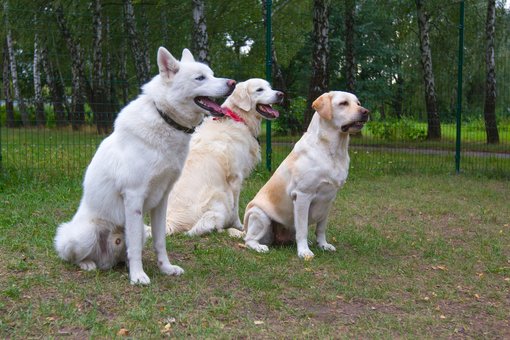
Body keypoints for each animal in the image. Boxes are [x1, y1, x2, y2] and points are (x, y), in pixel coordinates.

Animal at [54, 45, 235, 284]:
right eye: (200, 78)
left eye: (212, 74)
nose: (233, 83)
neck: (165, 118)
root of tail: (106, 261)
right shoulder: (134, 197)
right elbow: (135, 248)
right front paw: (138, 276)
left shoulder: (162, 199)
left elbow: (160, 242)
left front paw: (165, 268)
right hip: (84, 235)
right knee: (73, 256)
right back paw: (88, 264)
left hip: (141, 229)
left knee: (127, 250)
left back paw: (121, 264)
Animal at [165, 78, 282, 235]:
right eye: (259, 90)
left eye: (269, 87)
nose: (281, 94)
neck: (238, 118)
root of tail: (170, 221)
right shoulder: (236, 178)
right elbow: (235, 207)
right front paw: (239, 226)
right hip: (220, 197)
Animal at [241, 90, 368, 258]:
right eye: (343, 103)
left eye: (358, 103)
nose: (366, 112)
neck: (333, 150)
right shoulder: (302, 195)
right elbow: (302, 230)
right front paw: (304, 252)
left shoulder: (329, 199)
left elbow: (321, 228)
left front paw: (323, 245)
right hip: (260, 215)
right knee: (249, 240)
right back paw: (259, 247)